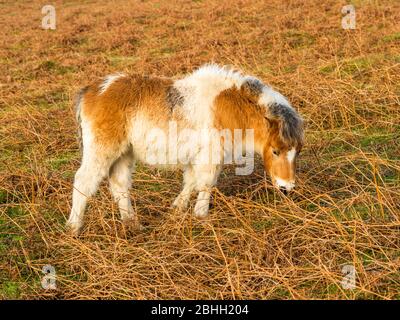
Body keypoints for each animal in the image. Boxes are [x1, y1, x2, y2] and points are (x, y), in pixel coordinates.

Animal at [66, 64, 304, 235]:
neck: (230, 106)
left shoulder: (197, 156)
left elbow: (190, 182)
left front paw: (176, 210)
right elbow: (206, 184)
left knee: (119, 184)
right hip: (102, 150)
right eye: (275, 151)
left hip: (124, 153)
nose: (287, 187)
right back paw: (74, 228)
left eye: (296, 152)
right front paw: (201, 216)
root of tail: (92, 90)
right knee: (84, 181)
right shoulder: (210, 155)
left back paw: (133, 225)